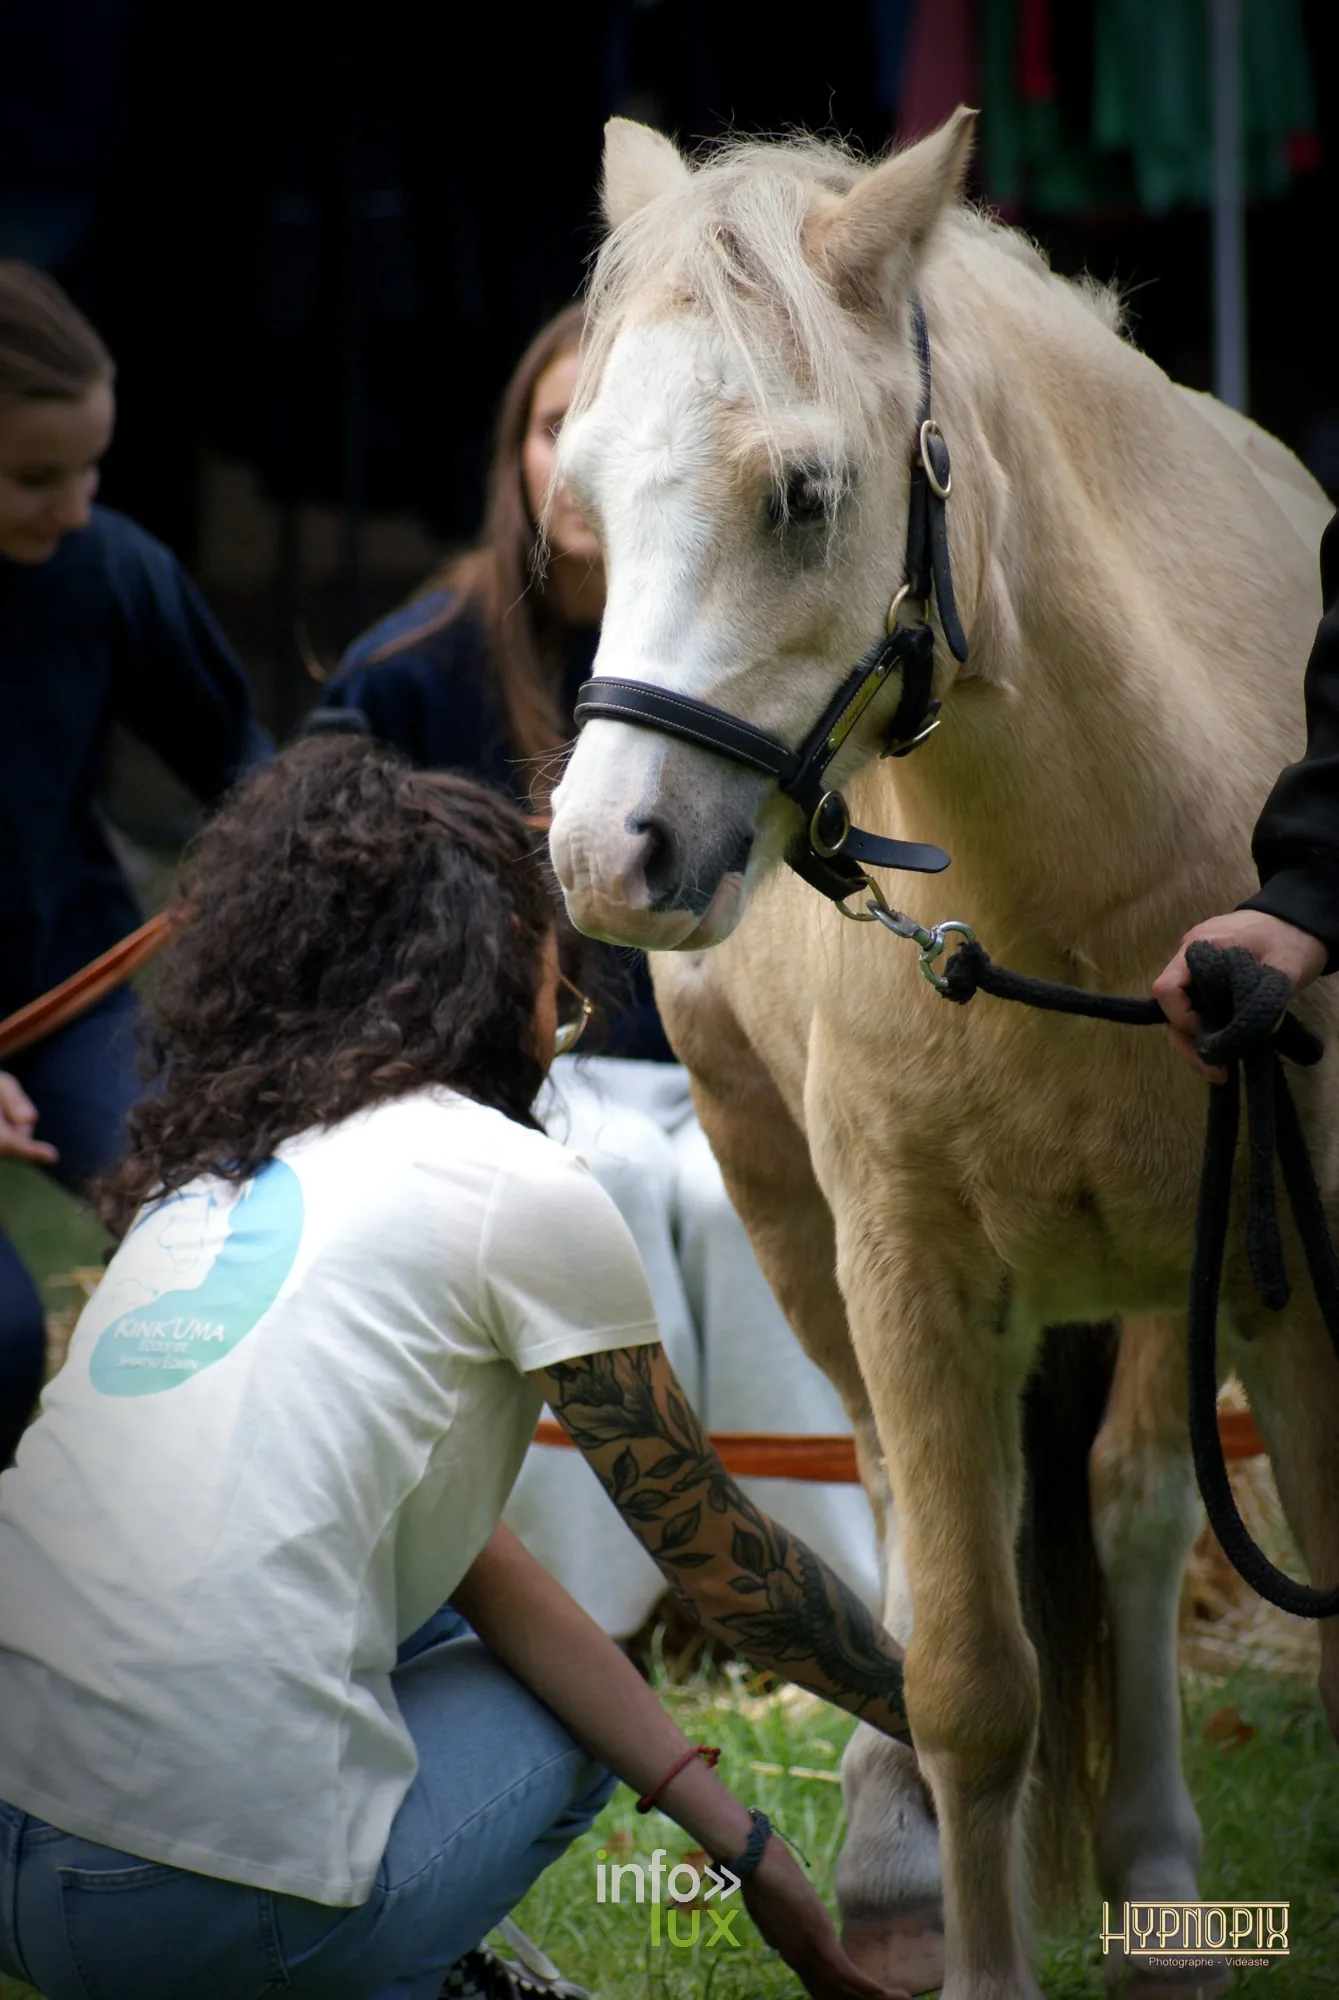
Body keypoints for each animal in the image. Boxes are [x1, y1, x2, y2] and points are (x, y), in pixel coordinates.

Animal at [547, 109, 1338, 2000]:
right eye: (588, 493)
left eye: (803, 494)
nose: (604, 855)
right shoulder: (906, 1270)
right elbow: (973, 1685)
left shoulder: (1277, 1267)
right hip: (791, 1224)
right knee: (903, 1502)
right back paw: (902, 1861)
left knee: (1127, 1514)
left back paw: (1155, 1884)